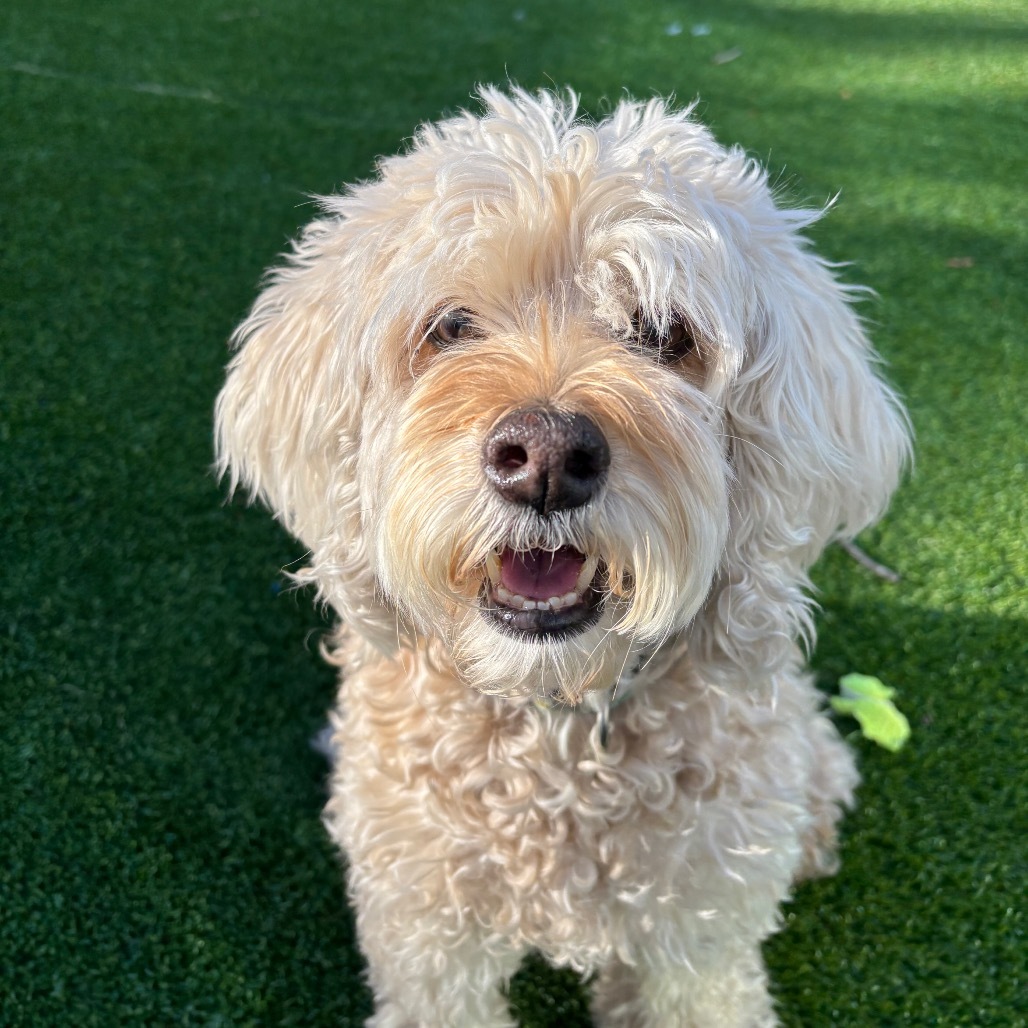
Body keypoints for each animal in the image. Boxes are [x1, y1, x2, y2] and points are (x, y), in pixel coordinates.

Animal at [214, 88, 908, 1028]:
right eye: (450, 326)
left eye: (663, 332)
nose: (545, 458)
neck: (557, 727)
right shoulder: (428, 944)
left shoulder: (703, 938)